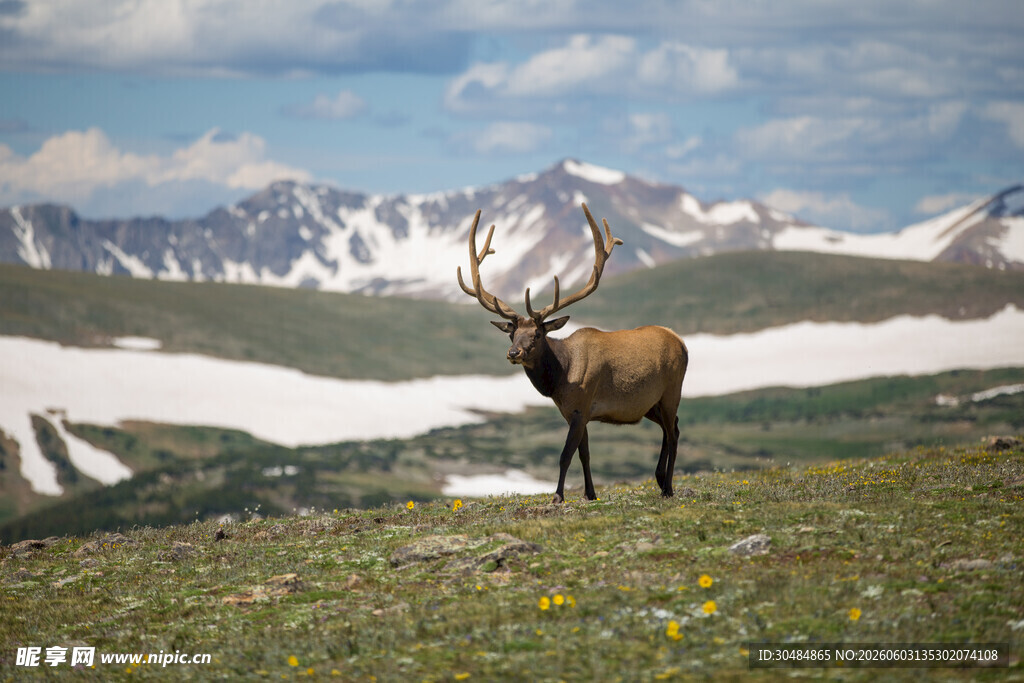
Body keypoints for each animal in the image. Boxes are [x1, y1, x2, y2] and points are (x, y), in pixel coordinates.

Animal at [457, 203, 689, 503]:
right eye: (511, 333)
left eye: (538, 334)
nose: (513, 352)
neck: (560, 379)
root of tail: (681, 342)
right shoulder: (574, 412)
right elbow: (584, 454)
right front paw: (590, 494)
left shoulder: (581, 404)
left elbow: (565, 455)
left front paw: (558, 496)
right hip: (650, 403)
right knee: (673, 427)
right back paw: (660, 480)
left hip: (672, 390)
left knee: (673, 432)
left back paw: (668, 487)